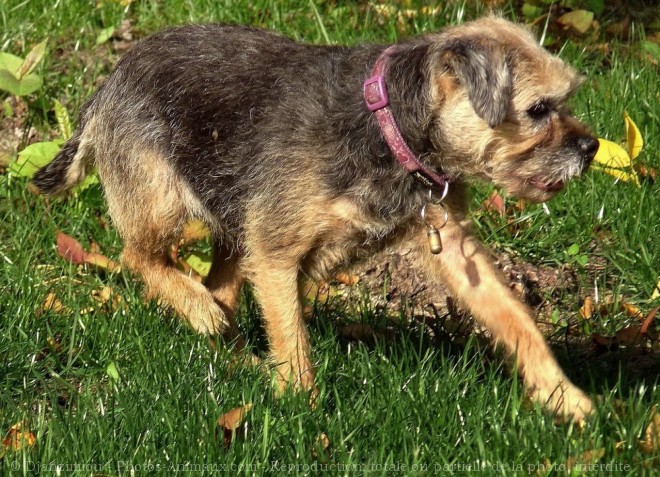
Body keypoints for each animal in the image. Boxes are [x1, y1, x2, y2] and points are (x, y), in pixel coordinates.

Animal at [32, 16, 600, 420]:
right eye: (538, 109)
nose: (592, 147)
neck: (387, 125)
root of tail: (109, 81)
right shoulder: (276, 255)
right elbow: (294, 339)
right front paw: (301, 412)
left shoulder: (456, 248)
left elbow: (514, 316)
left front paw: (561, 394)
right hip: (163, 201)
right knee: (140, 257)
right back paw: (199, 311)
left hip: (234, 224)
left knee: (221, 290)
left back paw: (235, 355)